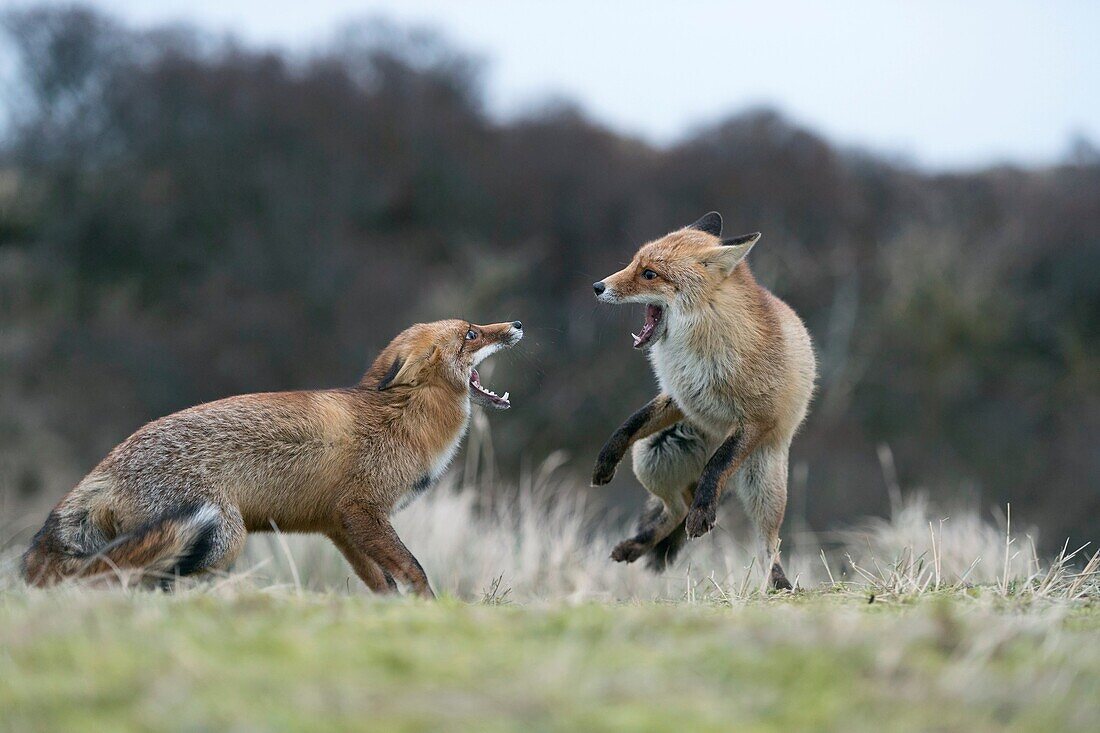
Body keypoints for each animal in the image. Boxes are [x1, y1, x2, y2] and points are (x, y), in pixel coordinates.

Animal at [22, 314, 523, 594]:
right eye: (472, 333)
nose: (517, 324)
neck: (402, 419)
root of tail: (103, 469)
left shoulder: (337, 525)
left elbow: (382, 584)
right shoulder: (361, 508)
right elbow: (415, 570)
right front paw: (430, 611)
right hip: (223, 536)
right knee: (136, 580)